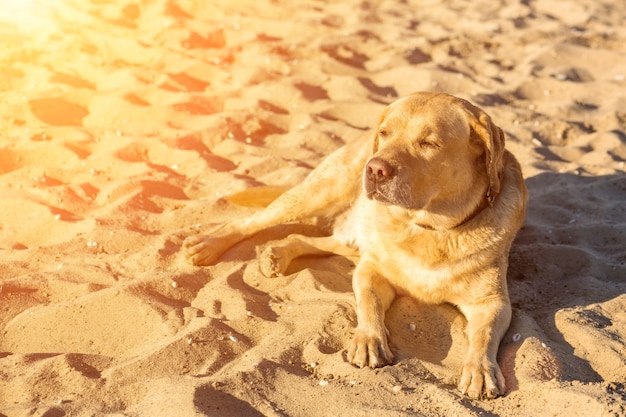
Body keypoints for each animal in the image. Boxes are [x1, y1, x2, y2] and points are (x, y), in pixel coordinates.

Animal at [184, 92, 528, 398]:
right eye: (385, 133)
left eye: (429, 143)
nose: (374, 169)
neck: (430, 229)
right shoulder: (371, 270)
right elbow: (368, 304)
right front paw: (369, 340)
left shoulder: (493, 302)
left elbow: (483, 335)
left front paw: (481, 370)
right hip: (318, 194)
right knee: (251, 221)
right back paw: (208, 243)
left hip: (350, 238)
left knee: (306, 239)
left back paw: (279, 253)